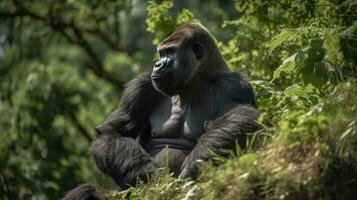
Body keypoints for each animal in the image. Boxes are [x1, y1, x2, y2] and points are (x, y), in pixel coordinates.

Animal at [63, 22, 258, 199]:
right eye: (162, 53)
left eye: (170, 52)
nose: (157, 64)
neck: (194, 84)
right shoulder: (142, 86)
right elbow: (111, 132)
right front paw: (139, 169)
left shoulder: (233, 85)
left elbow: (243, 118)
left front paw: (196, 164)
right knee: (86, 191)